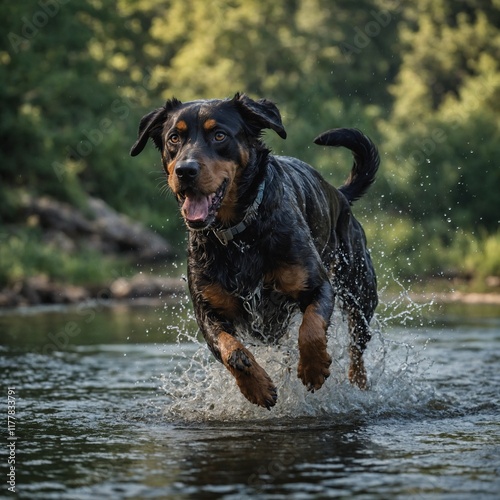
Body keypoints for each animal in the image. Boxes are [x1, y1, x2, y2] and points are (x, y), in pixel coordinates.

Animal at [132, 94, 378, 410]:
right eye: (174, 137)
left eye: (219, 135)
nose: (185, 170)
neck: (240, 233)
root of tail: (339, 194)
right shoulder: (207, 311)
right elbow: (231, 351)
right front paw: (257, 387)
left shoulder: (318, 286)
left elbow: (311, 328)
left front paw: (313, 368)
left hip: (360, 292)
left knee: (357, 346)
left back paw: (358, 383)